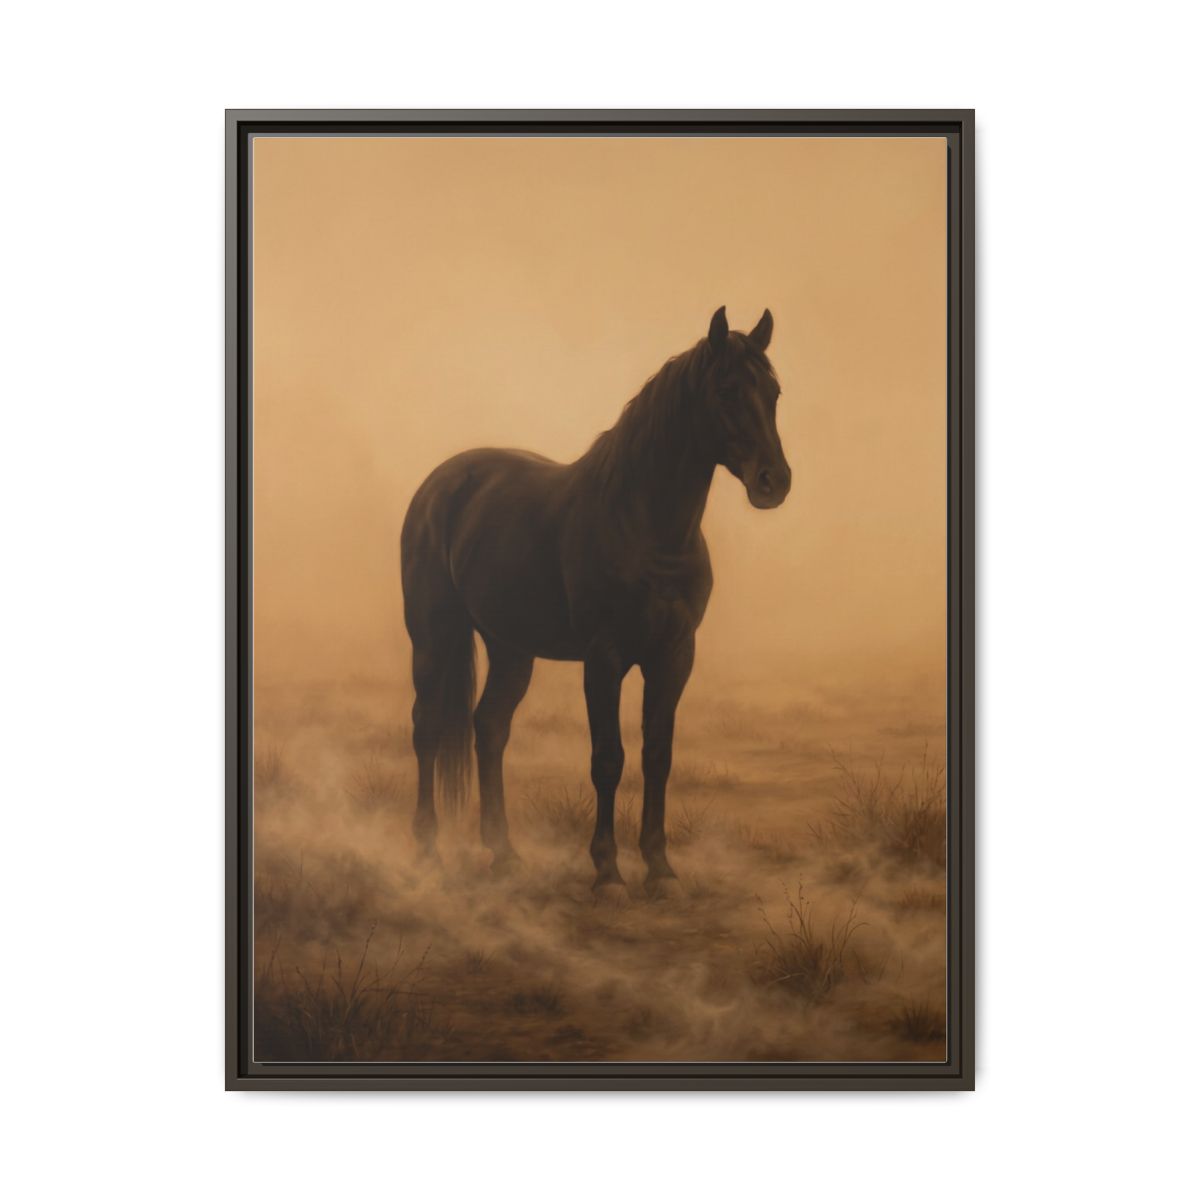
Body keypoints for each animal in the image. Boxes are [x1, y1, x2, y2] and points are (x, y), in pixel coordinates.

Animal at [400, 306, 791, 896]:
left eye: (773, 392)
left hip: (511, 648)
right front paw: (607, 871)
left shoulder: (674, 656)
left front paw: (660, 868)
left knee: (489, 728)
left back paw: (504, 853)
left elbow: (658, 755)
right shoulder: (604, 659)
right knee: (427, 728)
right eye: (726, 390)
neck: (645, 527)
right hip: (433, 635)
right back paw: (426, 851)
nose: (774, 481)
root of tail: (440, 484)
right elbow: (608, 758)